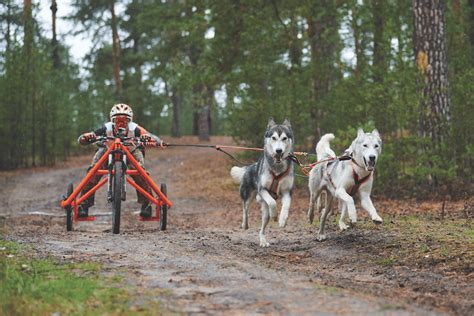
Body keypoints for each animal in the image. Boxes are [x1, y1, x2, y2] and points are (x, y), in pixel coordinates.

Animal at [231, 118, 294, 247]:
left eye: (284, 138)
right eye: (273, 137)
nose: (279, 151)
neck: (277, 169)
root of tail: (250, 166)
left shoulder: (287, 191)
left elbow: (286, 205)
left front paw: (282, 220)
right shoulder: (263, 189)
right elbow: (272, 203)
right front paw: (275, 215)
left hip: (264, 213)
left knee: (262, 228)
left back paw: (263, 240)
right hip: (247, 195)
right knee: (245, 209)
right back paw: (245, 224)